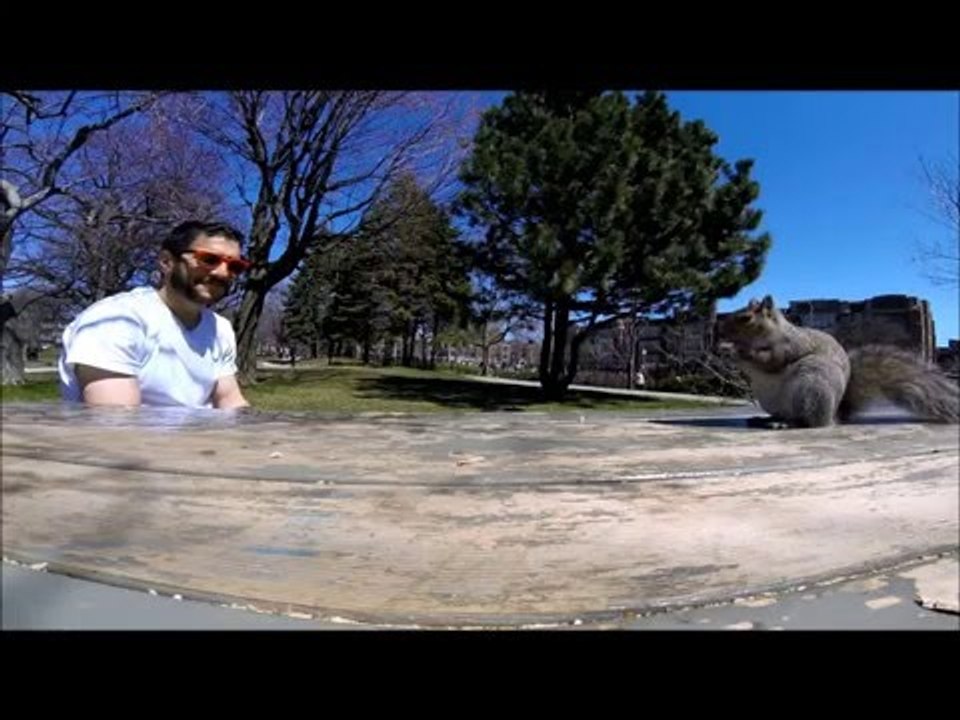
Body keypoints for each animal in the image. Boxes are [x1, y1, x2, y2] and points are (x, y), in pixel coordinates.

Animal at [715, 295, 959, 428]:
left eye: (746, 318)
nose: (721, 330)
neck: (773, 332)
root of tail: (834, 415)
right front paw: (725, 349)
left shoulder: (788, 347)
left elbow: (770, 360)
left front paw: (735, 349)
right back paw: (763, 419)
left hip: (811, 386)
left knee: (808, 421)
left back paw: (786, 423)